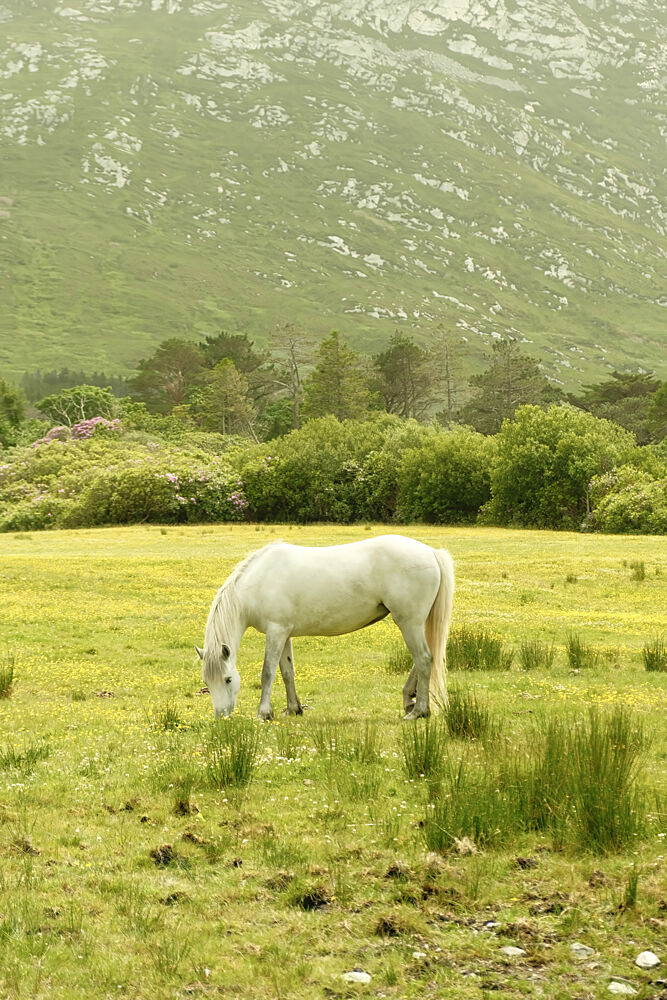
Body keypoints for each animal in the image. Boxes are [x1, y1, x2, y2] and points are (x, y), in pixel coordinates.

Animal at [195, 534, 454, 721]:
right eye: (207, 682)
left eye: (228, 679)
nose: (221, 717)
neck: (258, 583)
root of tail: (431, 552)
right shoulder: (284, 633)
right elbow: (287, 672)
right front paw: (293, 709)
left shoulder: (276, 631)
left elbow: (268, 672)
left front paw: (263, 713)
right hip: (415, 623)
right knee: (424, 659)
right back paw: (410, 701)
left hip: (409, 623)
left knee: (423, 659)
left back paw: (418, 711)